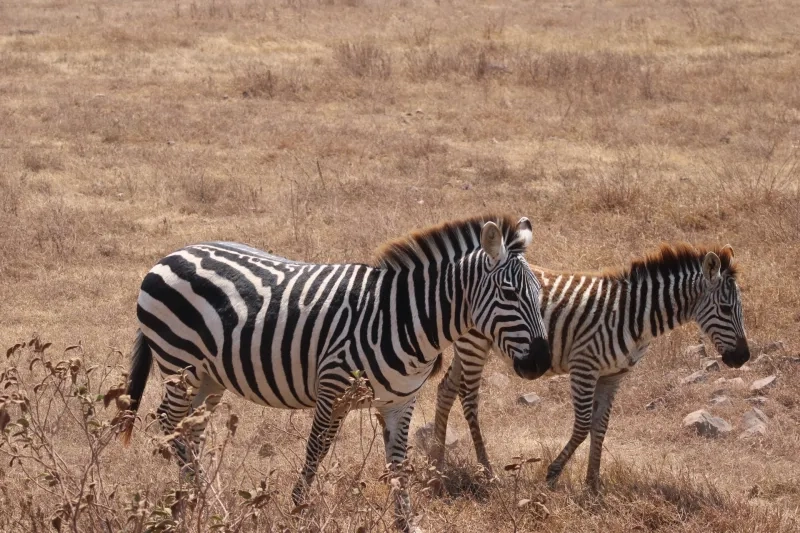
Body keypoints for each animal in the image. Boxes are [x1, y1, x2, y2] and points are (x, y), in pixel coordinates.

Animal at [120, 214, 551, 531]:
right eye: (510, 294)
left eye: (539, 294)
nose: (541, 363)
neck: (403, 318)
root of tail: (173, 253)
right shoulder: (333, 388)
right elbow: (317, 449)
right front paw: (298, 509)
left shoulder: (401, 401)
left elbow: (399, 462)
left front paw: (406, 522)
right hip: (180, 363)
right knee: (169, 422)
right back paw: (197, 497)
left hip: (210, 377)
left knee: (192, 429)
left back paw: (206, 498)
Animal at [431, 243, 750, 492]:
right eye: (725, 309)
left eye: (740, 309)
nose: (744, 358)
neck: (635, 316)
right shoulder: (584, 366)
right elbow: (583, 425)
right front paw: (552, 474)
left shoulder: (613, 375)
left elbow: (601, 426)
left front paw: (593, 483)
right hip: (474, 342)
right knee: (469, 400)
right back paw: (486, 471)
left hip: (466, 342)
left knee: (446, 388)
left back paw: (436, 464)